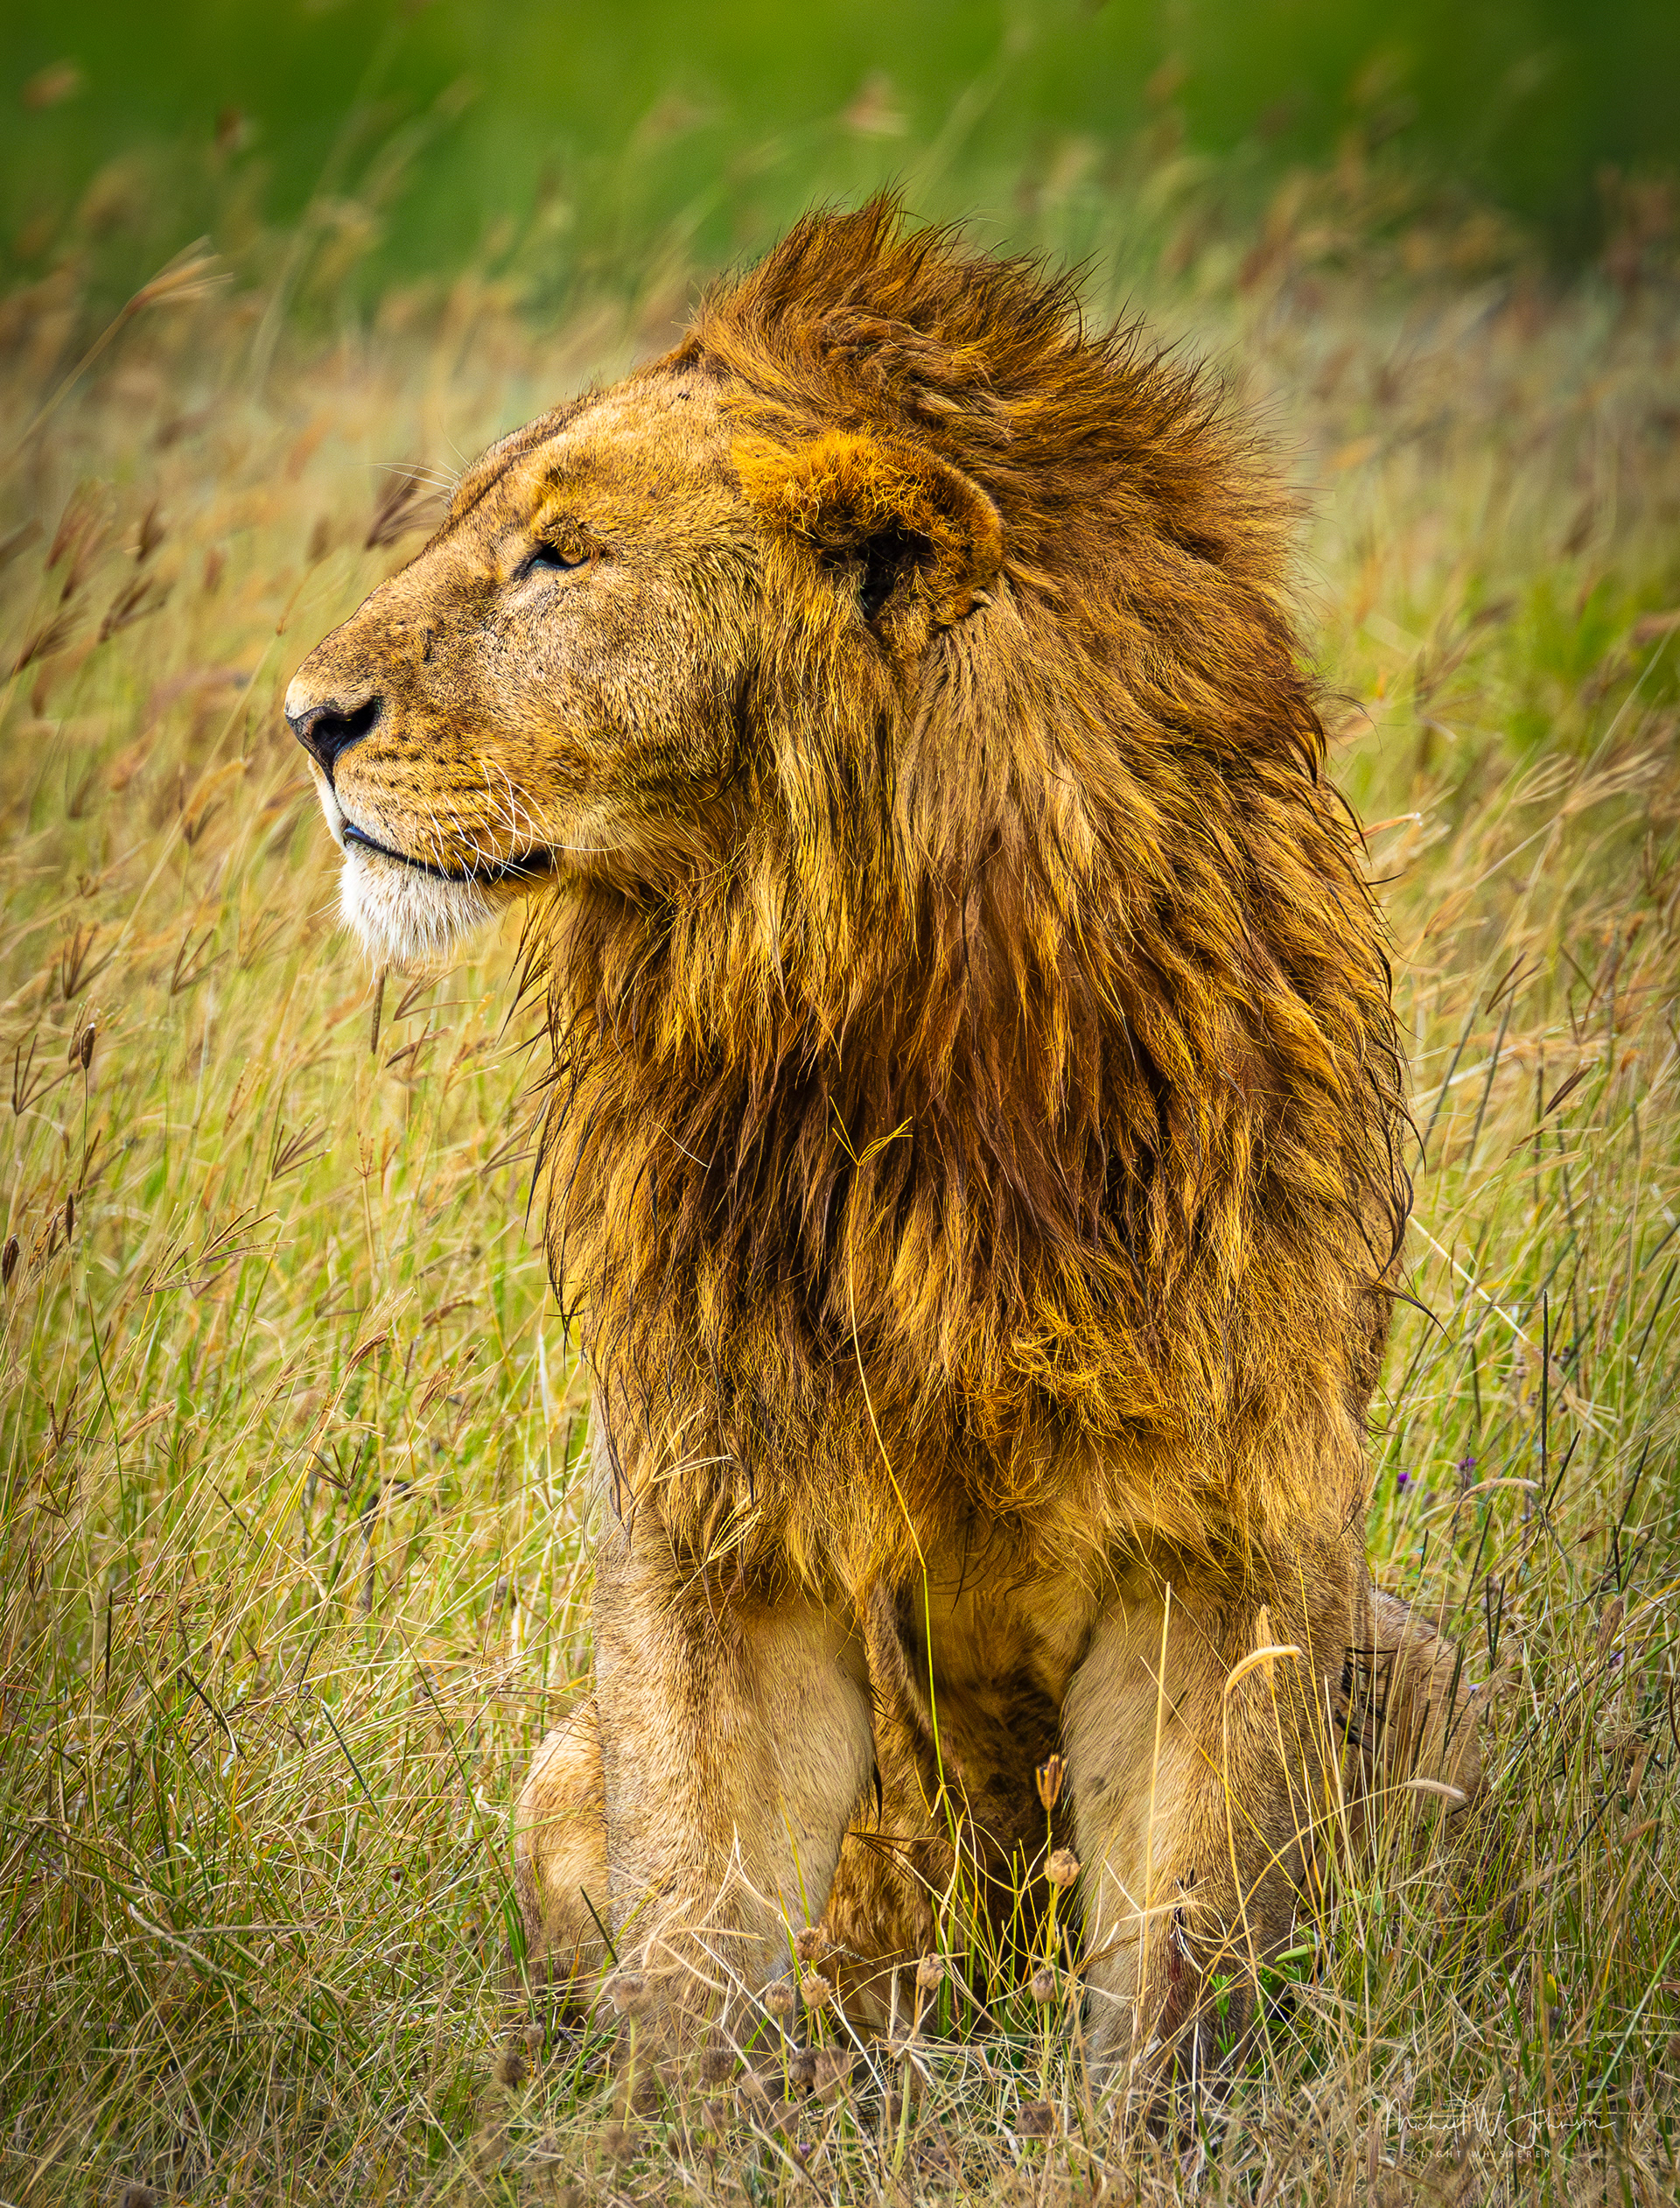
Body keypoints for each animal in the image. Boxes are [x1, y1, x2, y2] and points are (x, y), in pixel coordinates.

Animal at [286, 200, 1480, 2089]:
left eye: (561, 557)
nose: (305, 717)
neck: (872, 1008)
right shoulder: (712, 1511)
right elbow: (700, 1940)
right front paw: (669, 2122)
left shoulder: (1228, 1533)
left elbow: (1174, 1969)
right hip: (566, 1762)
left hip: (1422, 1666)